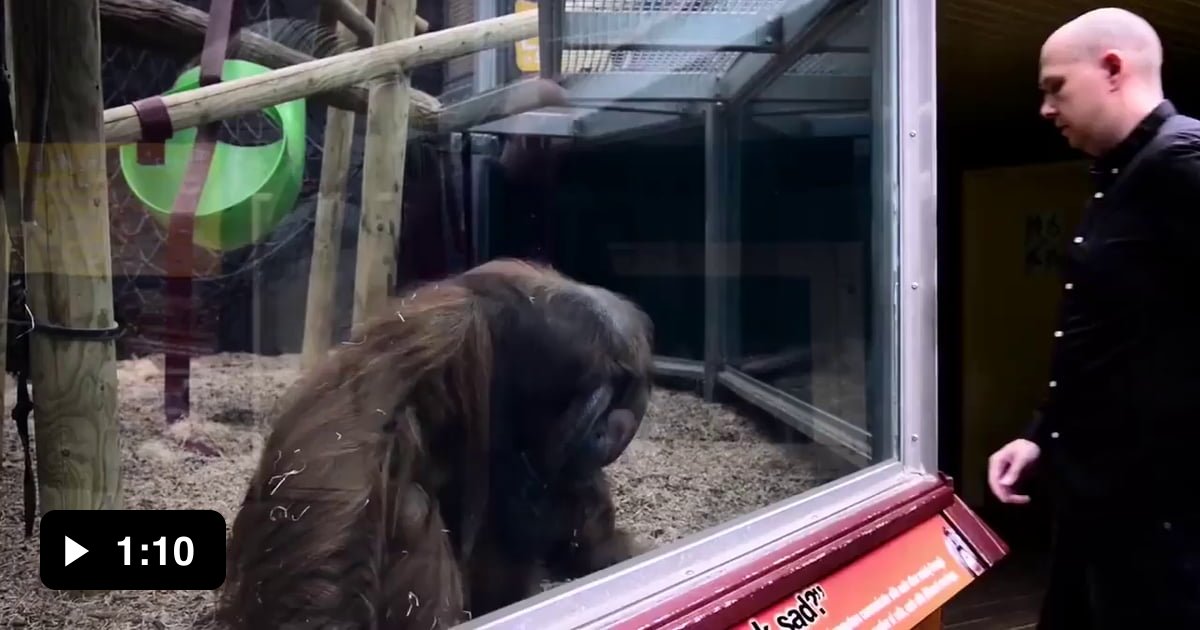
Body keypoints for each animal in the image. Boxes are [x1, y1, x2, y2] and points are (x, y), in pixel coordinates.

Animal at [215, 258, 653, 629]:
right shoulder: (442, 327)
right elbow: (341, 440)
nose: (605, 432)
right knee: (410, 505)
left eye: (613, 418)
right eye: (599, 415)